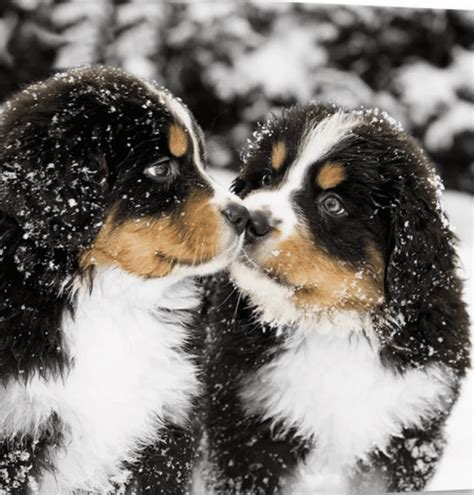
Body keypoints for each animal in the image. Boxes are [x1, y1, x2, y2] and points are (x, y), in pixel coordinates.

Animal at [203, 102, 470, 494]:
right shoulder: (250, 427)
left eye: (333, 204)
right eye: (266, 178)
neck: (333, 326)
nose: (251, 219)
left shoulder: (409, 431)